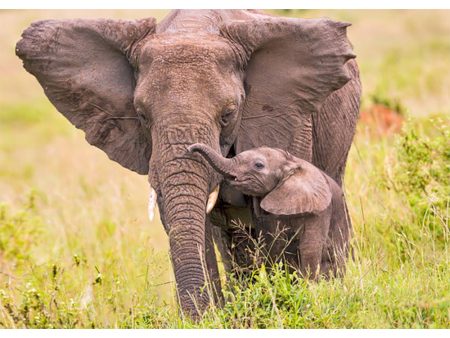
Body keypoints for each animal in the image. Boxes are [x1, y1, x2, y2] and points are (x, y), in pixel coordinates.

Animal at [188, 143, 350, 280]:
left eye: (258, 165)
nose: (189, 149)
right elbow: (273, 246)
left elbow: (309, 247)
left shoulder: (319, 210)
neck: (291, 162)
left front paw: (307, 287)